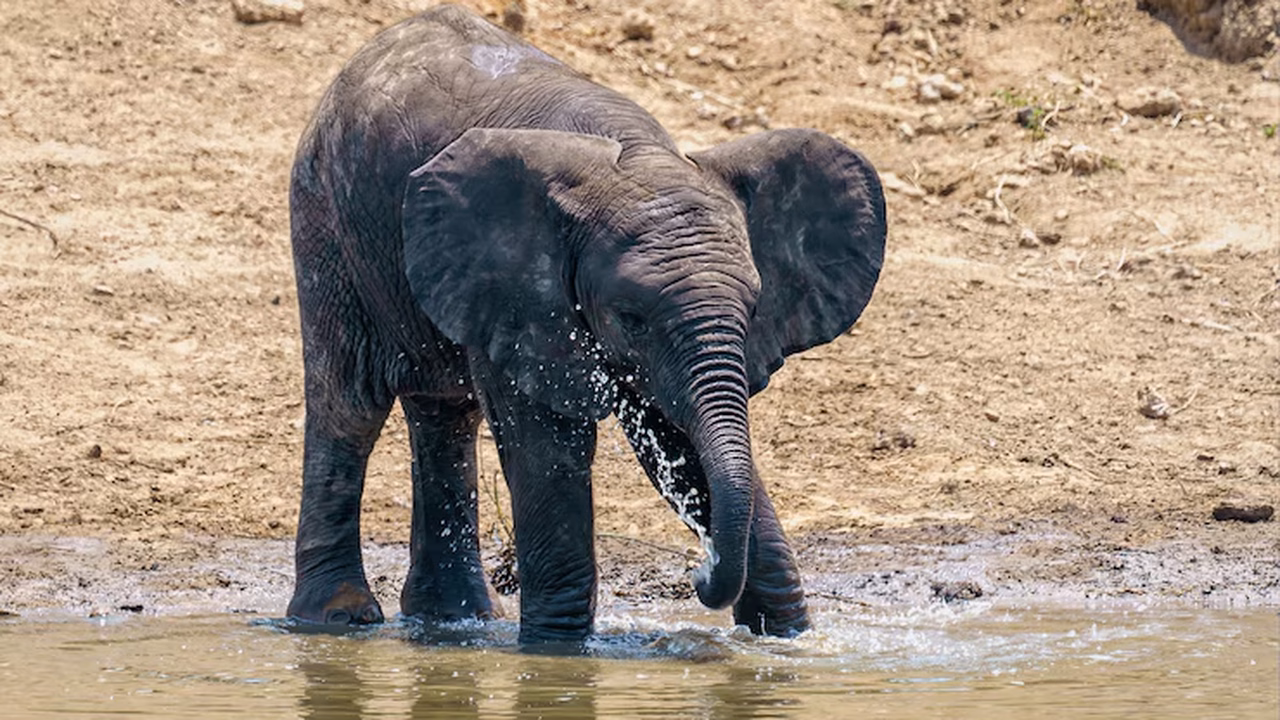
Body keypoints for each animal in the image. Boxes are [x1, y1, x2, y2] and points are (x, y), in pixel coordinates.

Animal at [285, 3, 886, 645]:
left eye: (752, 310)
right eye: (631, 318)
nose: (700, 573)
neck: (636, 154)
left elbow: (678, 437)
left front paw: (786, 640)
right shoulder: (522, 286)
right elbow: (552, 446)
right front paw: (556, 651)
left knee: (444, 414)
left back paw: (454, 620)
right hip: (325, 220)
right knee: (349, 404)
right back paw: (336, 620)